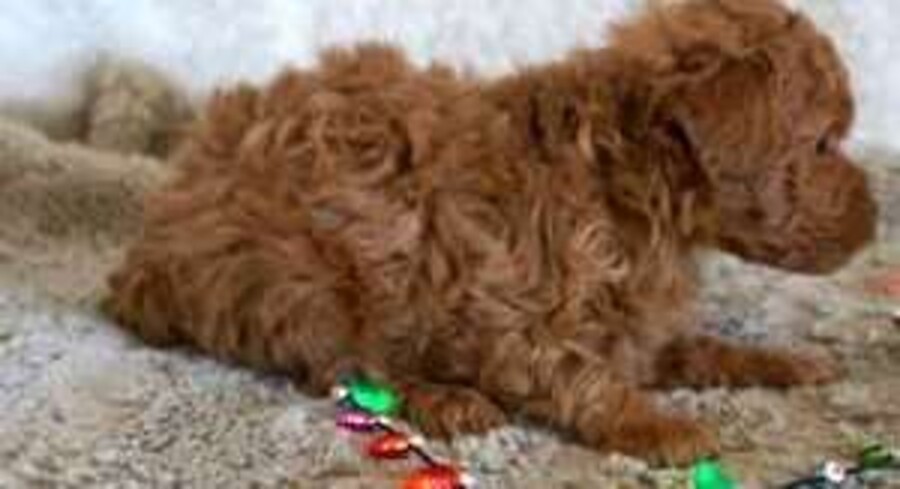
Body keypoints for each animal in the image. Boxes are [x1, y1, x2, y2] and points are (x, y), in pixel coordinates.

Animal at [104, 0, 876, 465]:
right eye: (822, 144)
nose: (874, 219)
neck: (627, 182)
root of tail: (147, 255)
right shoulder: (512, 322)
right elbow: (582, 379)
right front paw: (662, 426)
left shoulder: (635, 326)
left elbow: (701, 348)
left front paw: (789, 362)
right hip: (305, 278)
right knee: (345, 367)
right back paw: (448, 400)